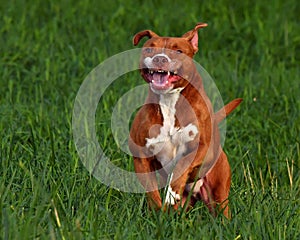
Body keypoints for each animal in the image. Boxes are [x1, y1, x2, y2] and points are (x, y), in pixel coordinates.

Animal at [128, 23, 241, 218]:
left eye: (179, 51)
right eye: (149, 49)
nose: (160, 59)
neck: (169, 102)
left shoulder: (201, 148)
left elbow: (180, 167)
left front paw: (172, 193)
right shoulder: (141, 156)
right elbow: (152, 191)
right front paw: (158, 212)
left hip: (218, 193)